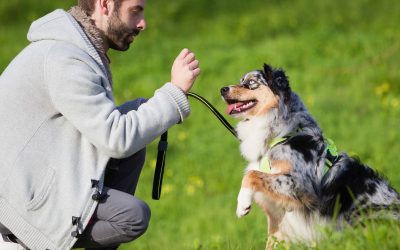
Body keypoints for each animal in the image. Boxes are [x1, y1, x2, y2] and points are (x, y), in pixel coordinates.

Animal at [220, 64, 398, 248]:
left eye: (251, 83)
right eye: (241, 80)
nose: (222, 89)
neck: (278, 133)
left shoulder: (301, 184)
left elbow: (251, 175)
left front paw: (242, 204)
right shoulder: (277, 216)